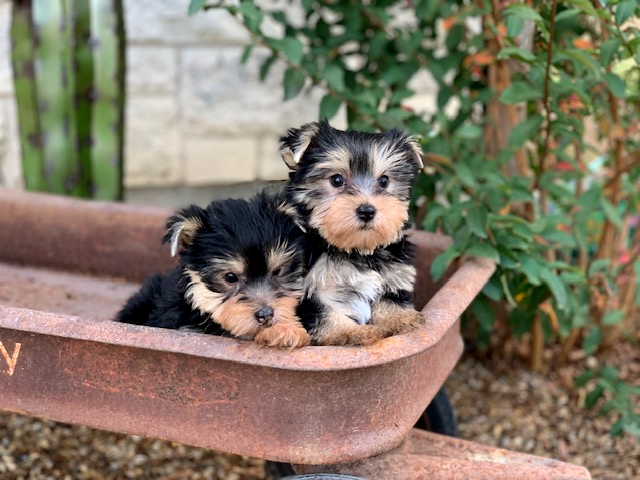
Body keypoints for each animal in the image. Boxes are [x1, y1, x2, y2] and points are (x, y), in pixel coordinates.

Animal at [280, 119, 424, 344]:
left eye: (384, 181)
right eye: (337, 180)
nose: (367, 211)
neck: (355, 250)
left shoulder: (393, 273)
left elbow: (390, 298)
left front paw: (401, 318)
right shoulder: (305, 289)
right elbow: (324, 313)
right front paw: (351, 332)